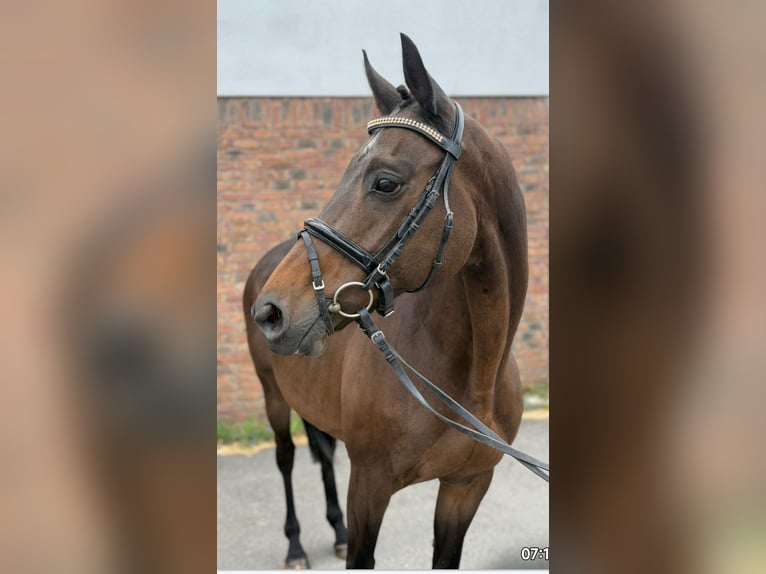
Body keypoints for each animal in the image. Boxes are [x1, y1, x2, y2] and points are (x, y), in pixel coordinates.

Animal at [244, 34, 528, 568]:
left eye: (385, 182)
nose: (271, 313)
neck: (472, 380)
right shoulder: (369, 489)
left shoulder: (465, 488)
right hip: (274, 398)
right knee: (287, 458)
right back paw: (295, 545)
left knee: (322, 454)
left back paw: (332, 530)